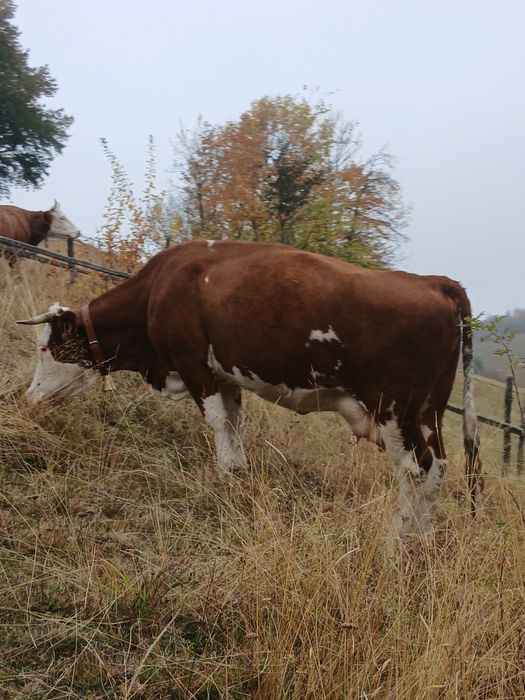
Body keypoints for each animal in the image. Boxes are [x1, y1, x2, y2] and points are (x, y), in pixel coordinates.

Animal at [17, 239, 482, 538]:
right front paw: (238, 474)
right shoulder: (224, 375)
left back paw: (397, 541)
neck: (161, 287)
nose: (29, 399)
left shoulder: (191, 362)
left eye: (44, 347)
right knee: (437, 470)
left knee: (414, 473)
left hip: (394, 412)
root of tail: (433, 281)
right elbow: (234, 425)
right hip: (427, 415)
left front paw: (224, 478)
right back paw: (420, 540)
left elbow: (217, 422)